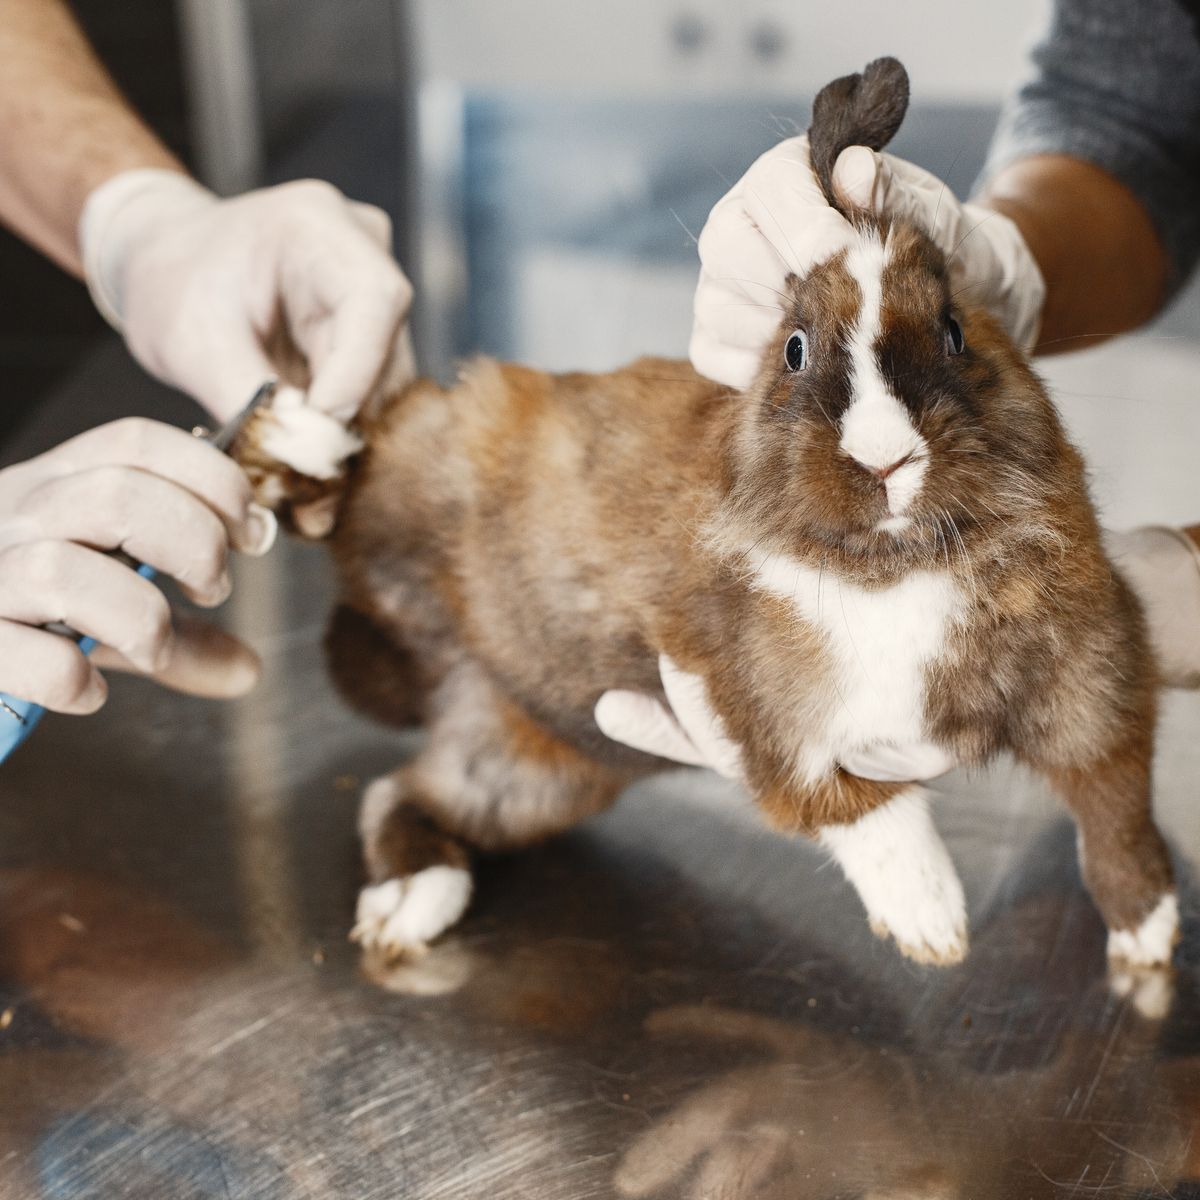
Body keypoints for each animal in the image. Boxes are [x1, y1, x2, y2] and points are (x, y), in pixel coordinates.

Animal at [235, 57, 1178, 973]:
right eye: (793, 350)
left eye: (954, 332)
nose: (886, 459)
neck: (892, 568)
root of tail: (441, 664)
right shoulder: (762, 714)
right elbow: (864, 808)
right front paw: (933, 923)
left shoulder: (1094, 679)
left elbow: (1114, 805)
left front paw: (1149, 932)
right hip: (421, 474)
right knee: (348, 479)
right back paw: (296, 432)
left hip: (541, 763)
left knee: (406, 793)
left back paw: (412, 902)